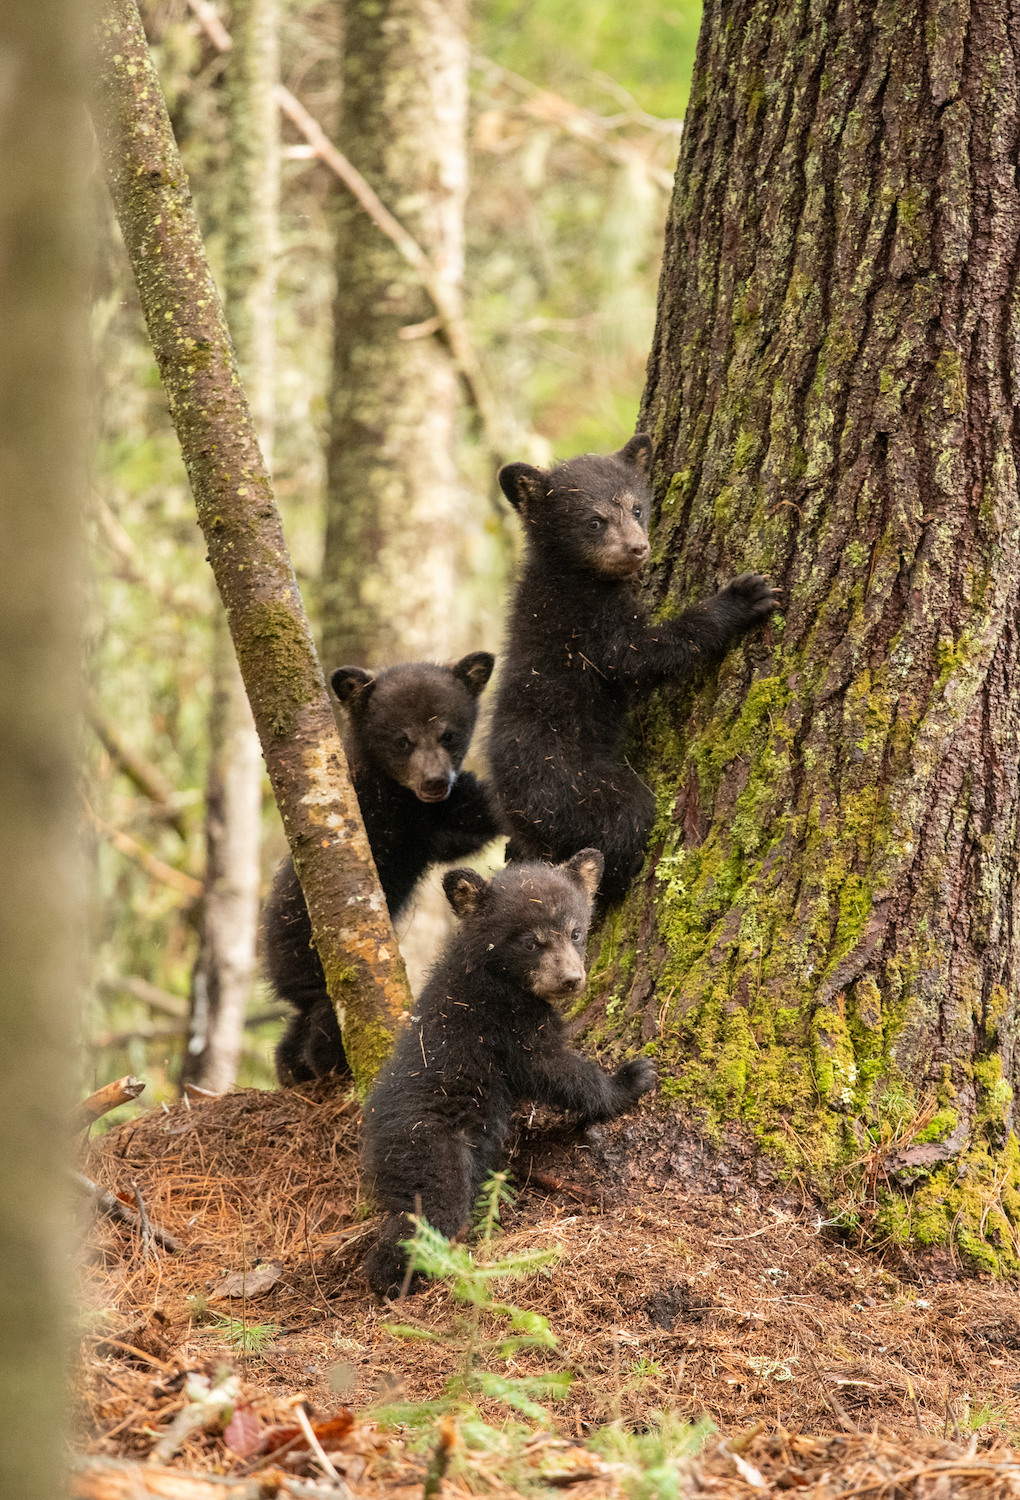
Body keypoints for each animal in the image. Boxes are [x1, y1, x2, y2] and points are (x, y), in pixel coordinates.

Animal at [267, 653, 502, 1086]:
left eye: (448, 735)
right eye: (402, 740)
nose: (434, 781)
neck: (397, 797)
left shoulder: (429, 822)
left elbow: (466, 821)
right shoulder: (381, 815)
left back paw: (292, 1068)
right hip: (312, 966)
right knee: (324, 1021)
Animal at [361, 848, 656, 1298]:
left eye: (576, 931)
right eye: (532, 941)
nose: (571, 979)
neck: (496, 973)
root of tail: (374, 1135)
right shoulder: (507, 1023)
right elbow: (554, 1069)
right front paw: (632, 1078)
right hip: (430, 1148)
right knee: (431, 1213)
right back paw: (401, 1276)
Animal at [488, 433, 779, 902]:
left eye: (637, 508)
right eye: (594, 521)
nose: (638, 548)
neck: (570, 573)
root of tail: (515, 814)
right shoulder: (589, 623)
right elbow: (640, 656)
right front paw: (741, 598)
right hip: (577, 790)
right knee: (624, 821)